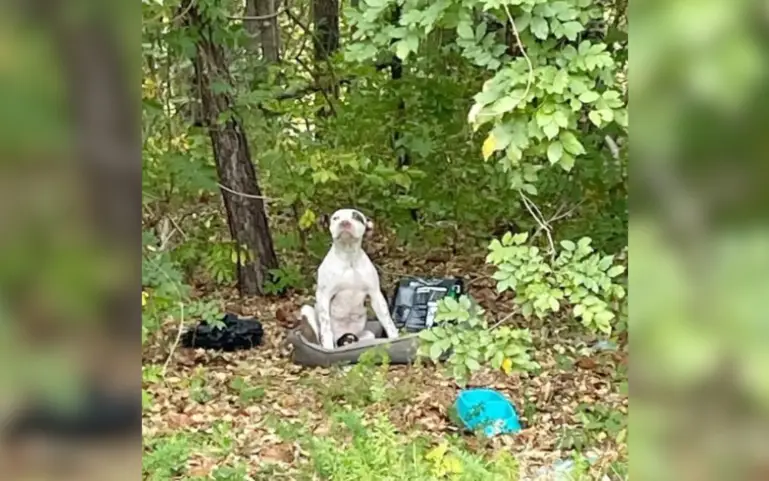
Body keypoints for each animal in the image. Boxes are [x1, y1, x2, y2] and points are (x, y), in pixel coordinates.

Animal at [298, 207, 400, 348]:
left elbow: (388, 321)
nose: (345, 222)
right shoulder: (324, 295)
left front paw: (394, 338)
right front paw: (328, 348)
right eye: (335, 218)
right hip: (307, 310)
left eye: (357, 217)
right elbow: (326, 327)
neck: (349, 256)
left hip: (365, 335)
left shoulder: (376, 295)